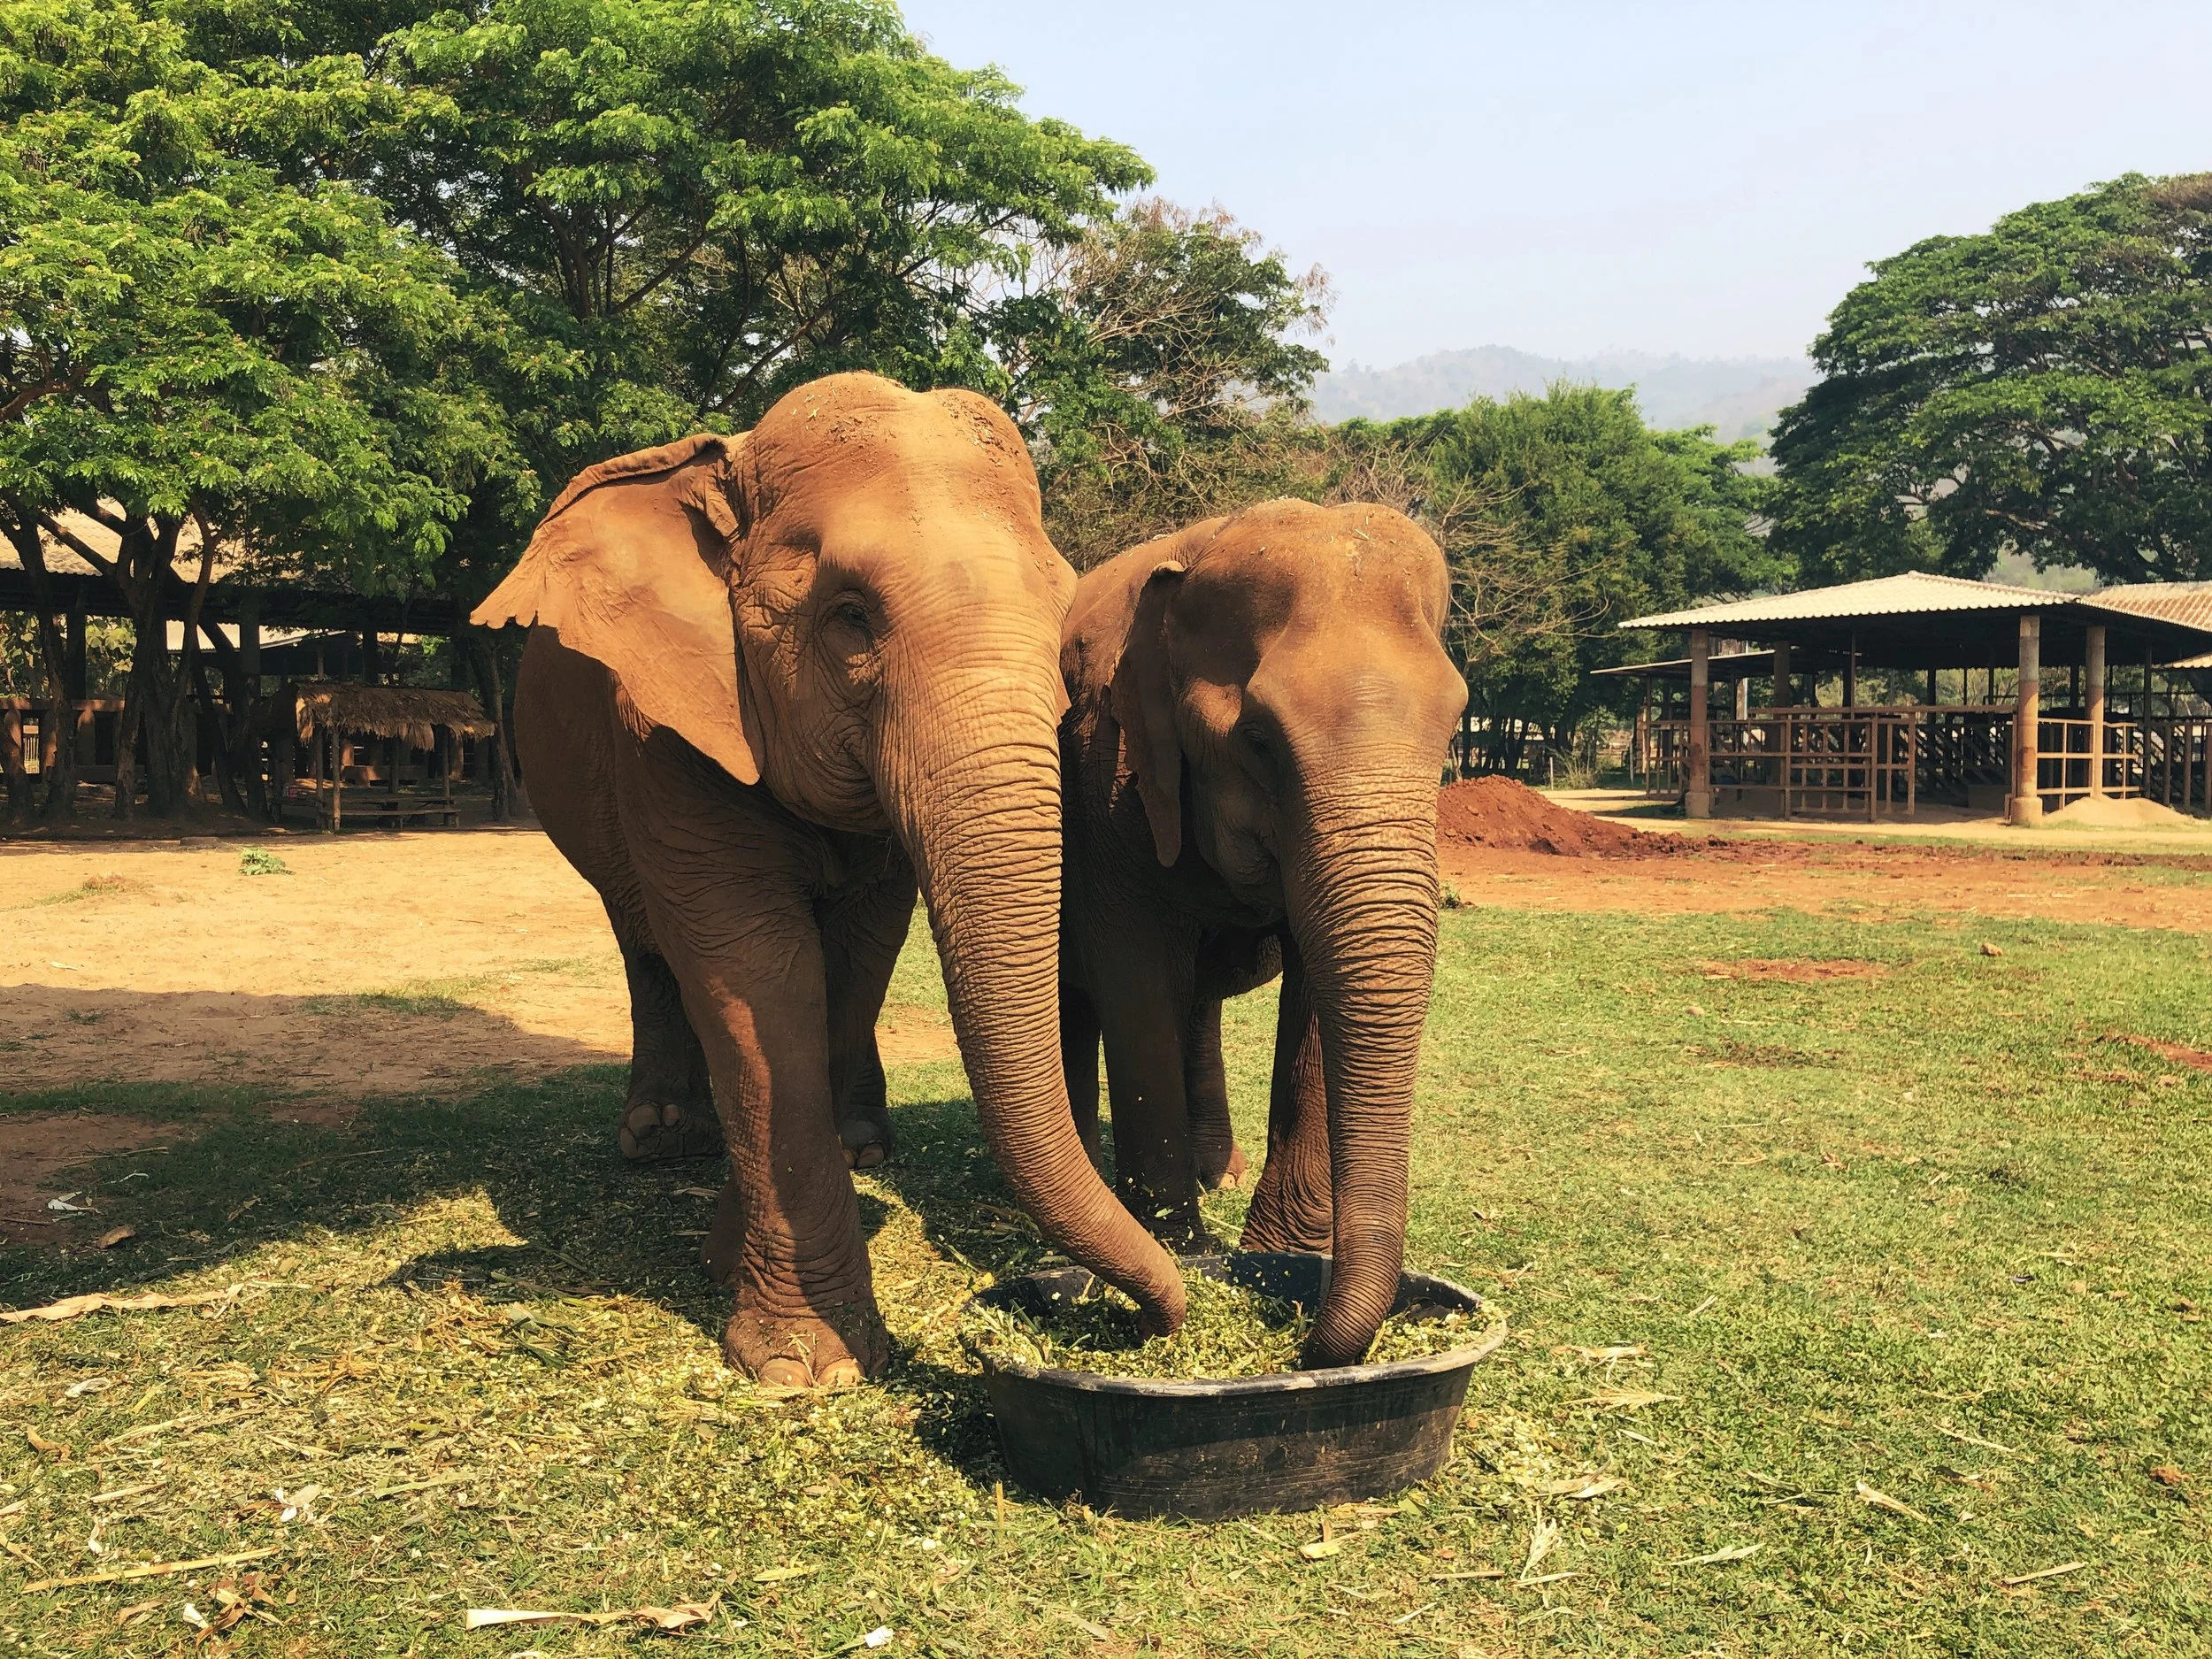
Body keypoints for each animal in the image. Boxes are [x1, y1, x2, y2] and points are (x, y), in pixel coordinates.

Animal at [473, 372, 1184, 1386]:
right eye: (850, 616)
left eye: (1059, 622)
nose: (1158, 1322)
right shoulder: (663, 729)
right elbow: (755, 969)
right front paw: (808, 1362)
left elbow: (853, 956)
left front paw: (734, 1260)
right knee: (642, 938)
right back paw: (658, 1139)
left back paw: (860, 1147)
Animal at [1056, 498, 1467, 1367]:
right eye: (1258, 740)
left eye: (1454, 726)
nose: (1305, 1346)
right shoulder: (1107, 775)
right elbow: (1137, 981)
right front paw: (1182, 1252)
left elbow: (1315, 992)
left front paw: (1279, 1254)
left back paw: (1223, 1173)